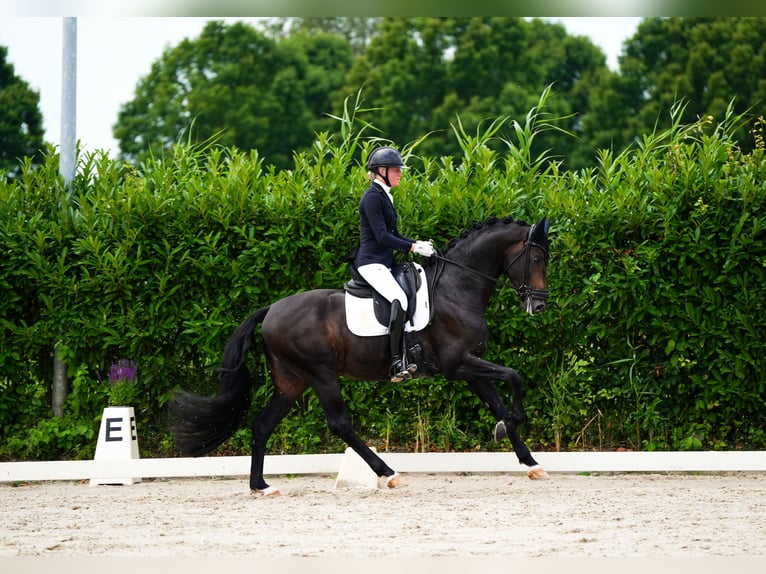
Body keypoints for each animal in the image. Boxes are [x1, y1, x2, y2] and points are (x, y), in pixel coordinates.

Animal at [170, 216, 552, 496]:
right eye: (536, 258)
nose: (539, 306)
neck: (457, 288)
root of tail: (271, 310)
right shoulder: (458, 364)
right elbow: (514, 377)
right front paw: (510, 426)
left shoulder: (470, 366)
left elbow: (499, 402)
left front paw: (529, 460)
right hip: (321, 374)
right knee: (340, 423)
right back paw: (388, 473)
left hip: (291, 381)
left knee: (263, 425)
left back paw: (261, 486)